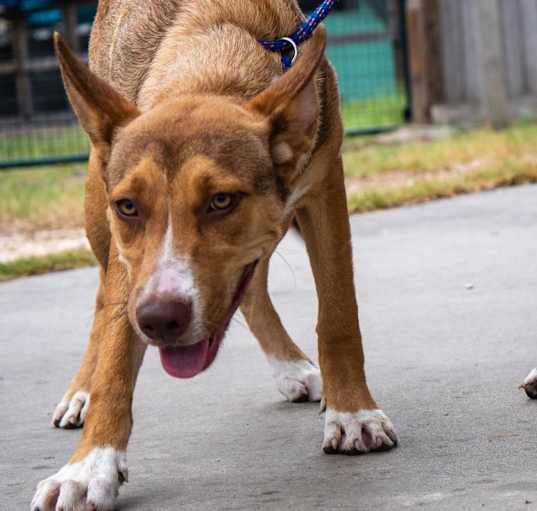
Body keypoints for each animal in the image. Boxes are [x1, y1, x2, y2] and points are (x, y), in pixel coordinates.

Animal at [31, 2, 396, 510]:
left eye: (221, 200)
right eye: (129, 207)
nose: (158, 320)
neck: (210, 58)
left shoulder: (323, 185)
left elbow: (338, 314)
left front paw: (352, 412)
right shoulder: (129, 251)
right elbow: (116, 351)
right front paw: (88, 467)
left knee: (252, 285)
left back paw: (291, 366)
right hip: (96, 204)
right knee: (104, 299)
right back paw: (81, 390)